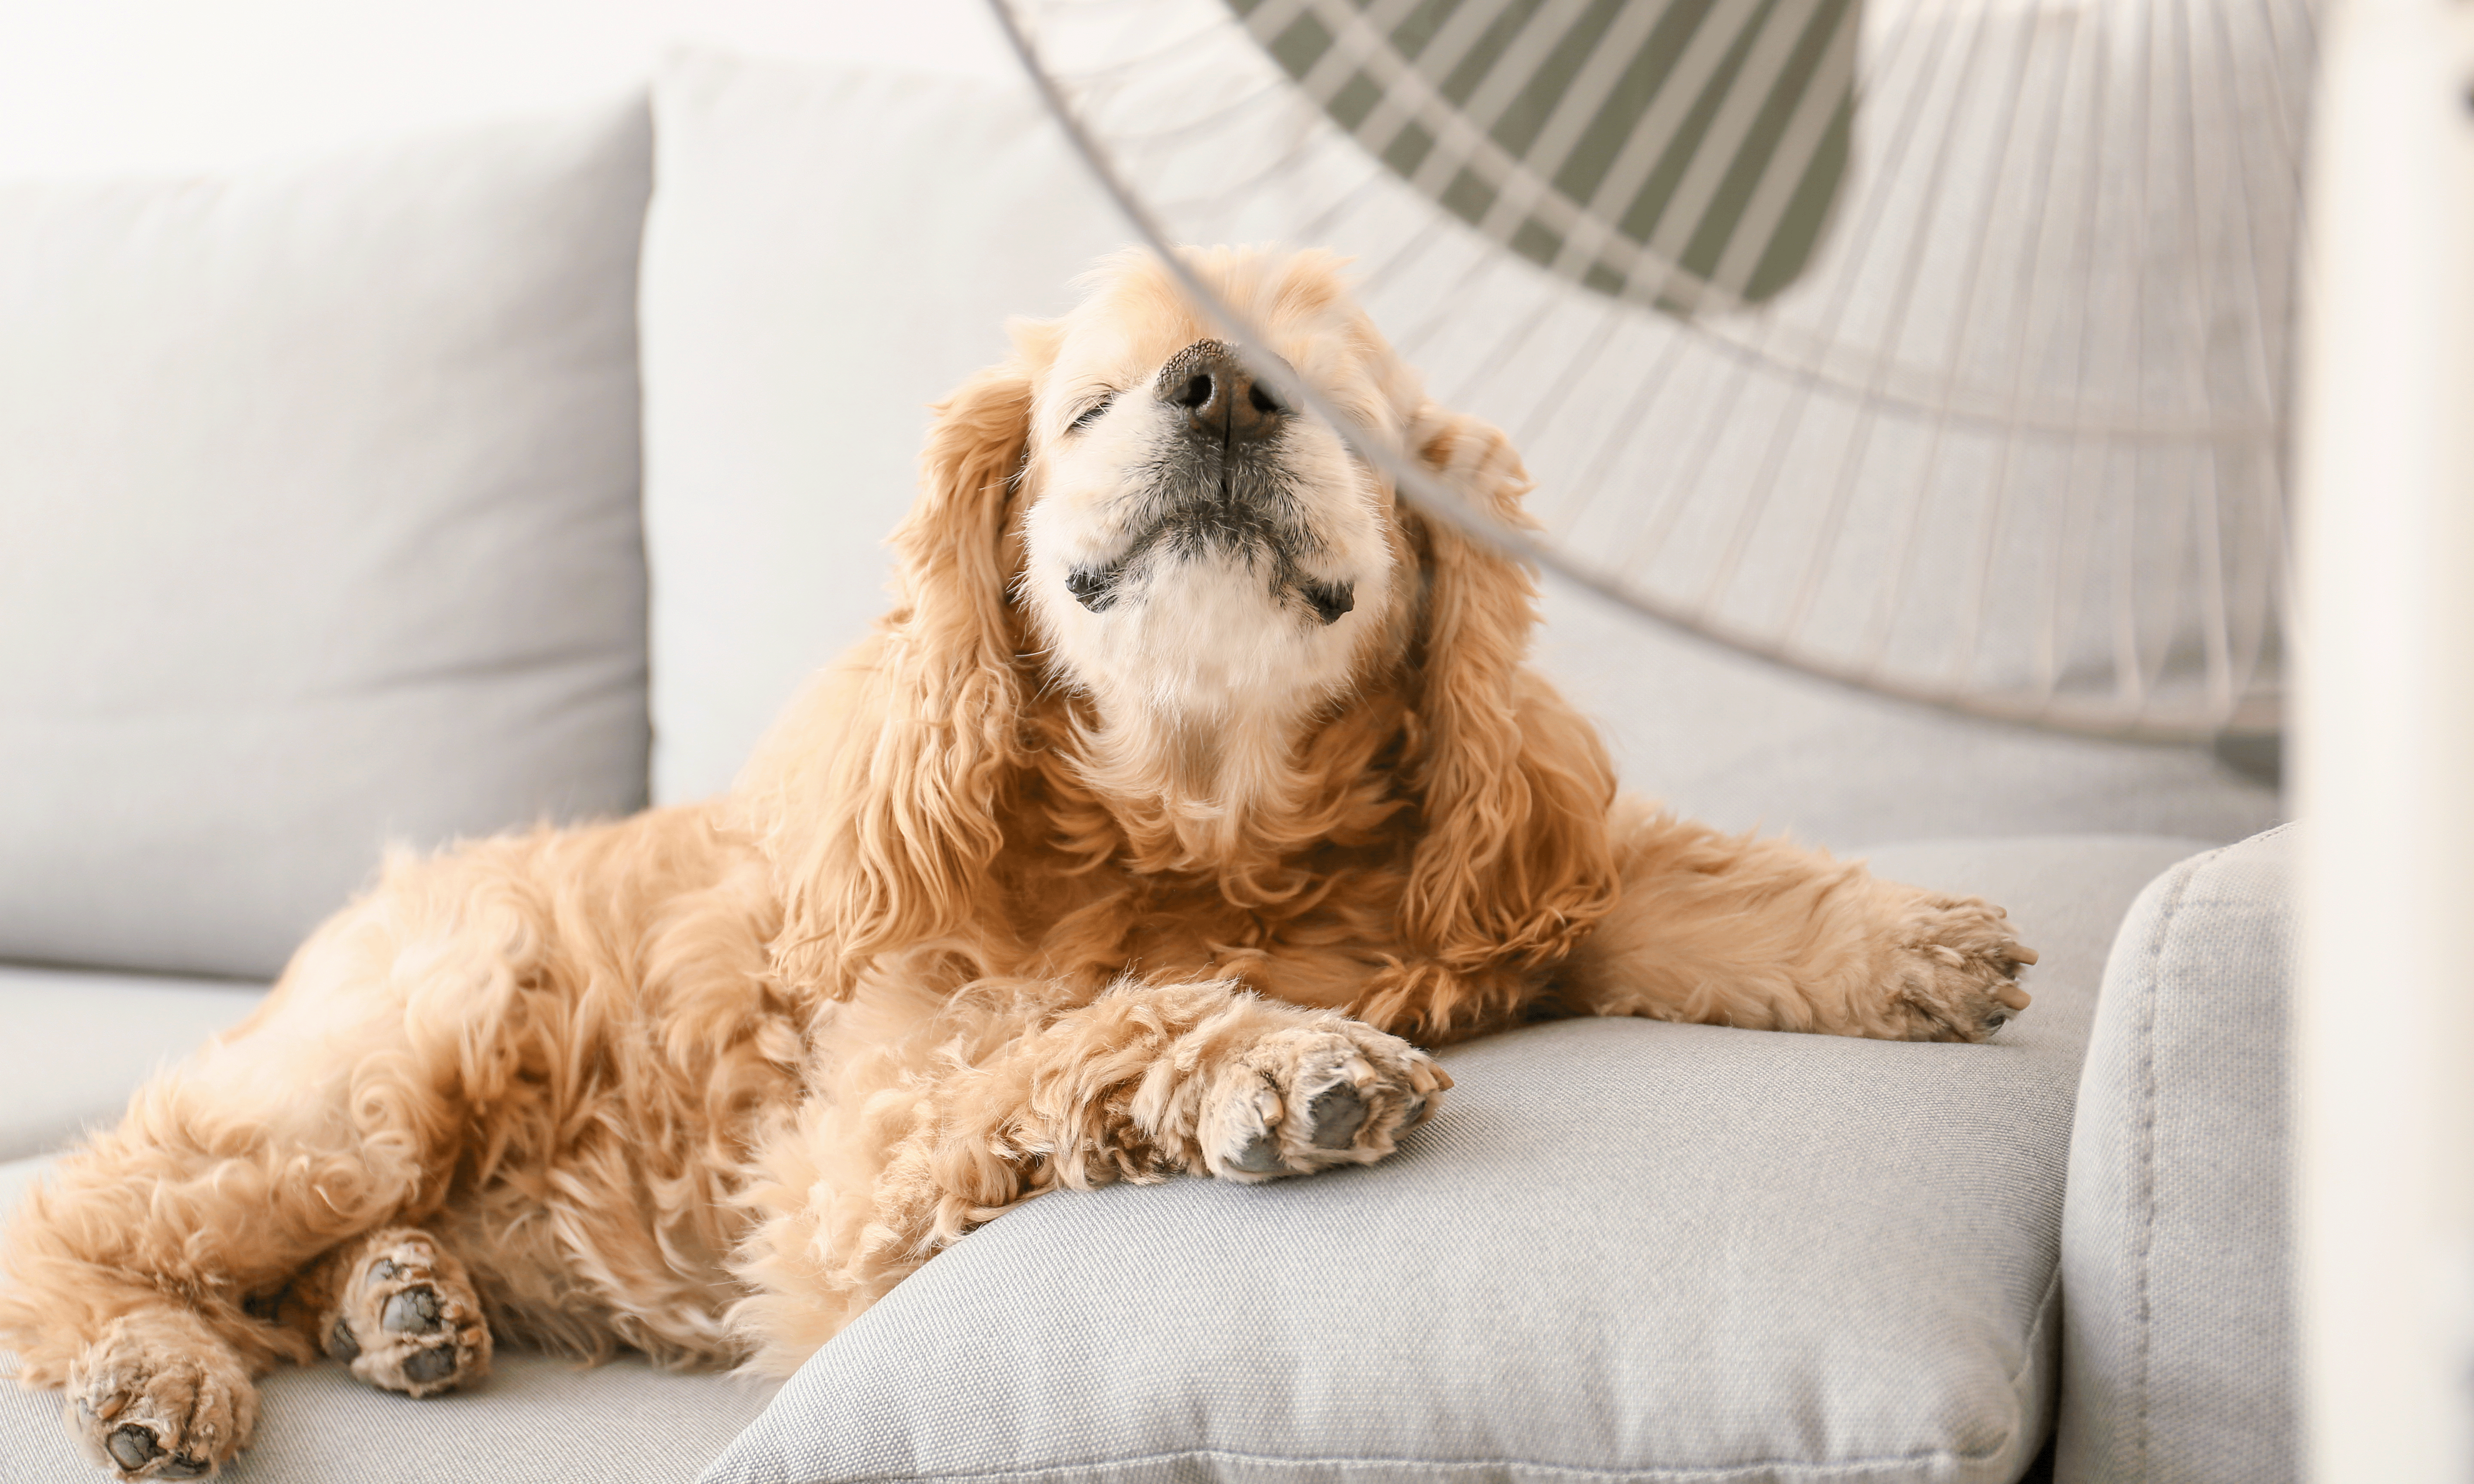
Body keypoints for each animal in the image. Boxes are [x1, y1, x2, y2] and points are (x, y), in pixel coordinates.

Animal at [0, 249, 2029, 1474]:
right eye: (1092, 408)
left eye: (1332, 400)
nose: (1217, 387)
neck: (1206, 830)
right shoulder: (852, 1158)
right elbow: (1084, 1032)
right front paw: (1274, 1066)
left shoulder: (1499, 873)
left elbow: (1699, 884)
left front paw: (1915, 939)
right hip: (388, 1057)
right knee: (75, 1222)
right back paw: (161, 1371)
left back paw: (405, 1304)